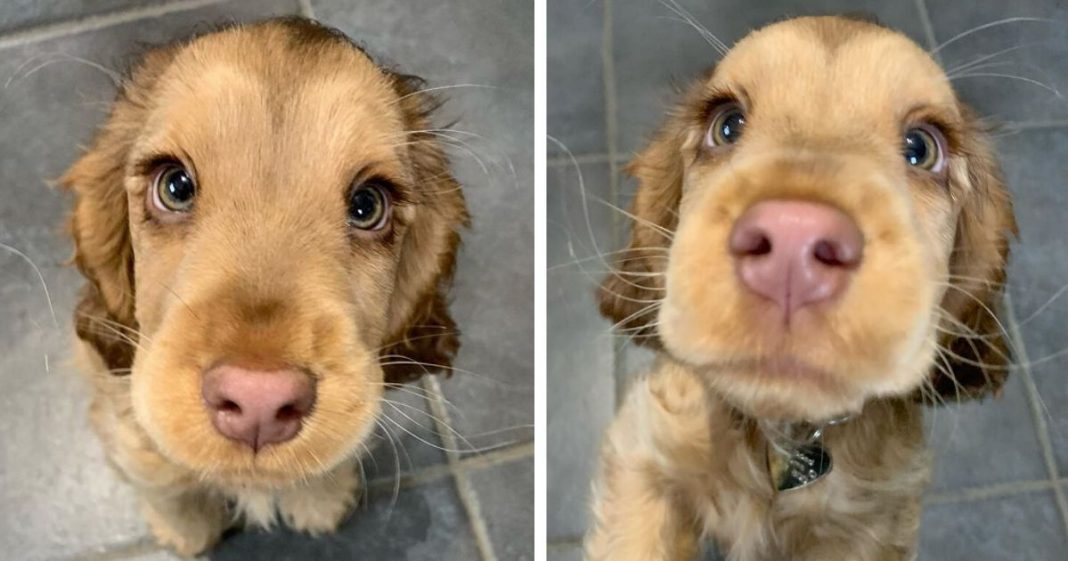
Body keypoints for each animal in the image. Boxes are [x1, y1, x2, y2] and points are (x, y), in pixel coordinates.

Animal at [61, 17, 467, 555]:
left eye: (367, 205)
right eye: (175, 186)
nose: (259, 401)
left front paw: (320, 502)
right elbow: (159, 474)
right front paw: (187, 531)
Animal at [589, 14, 1012, 559]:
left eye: (922, 148)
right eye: (727, 124)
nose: (793, 238)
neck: (778, 434)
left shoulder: (873, 522)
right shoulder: (644, 449)